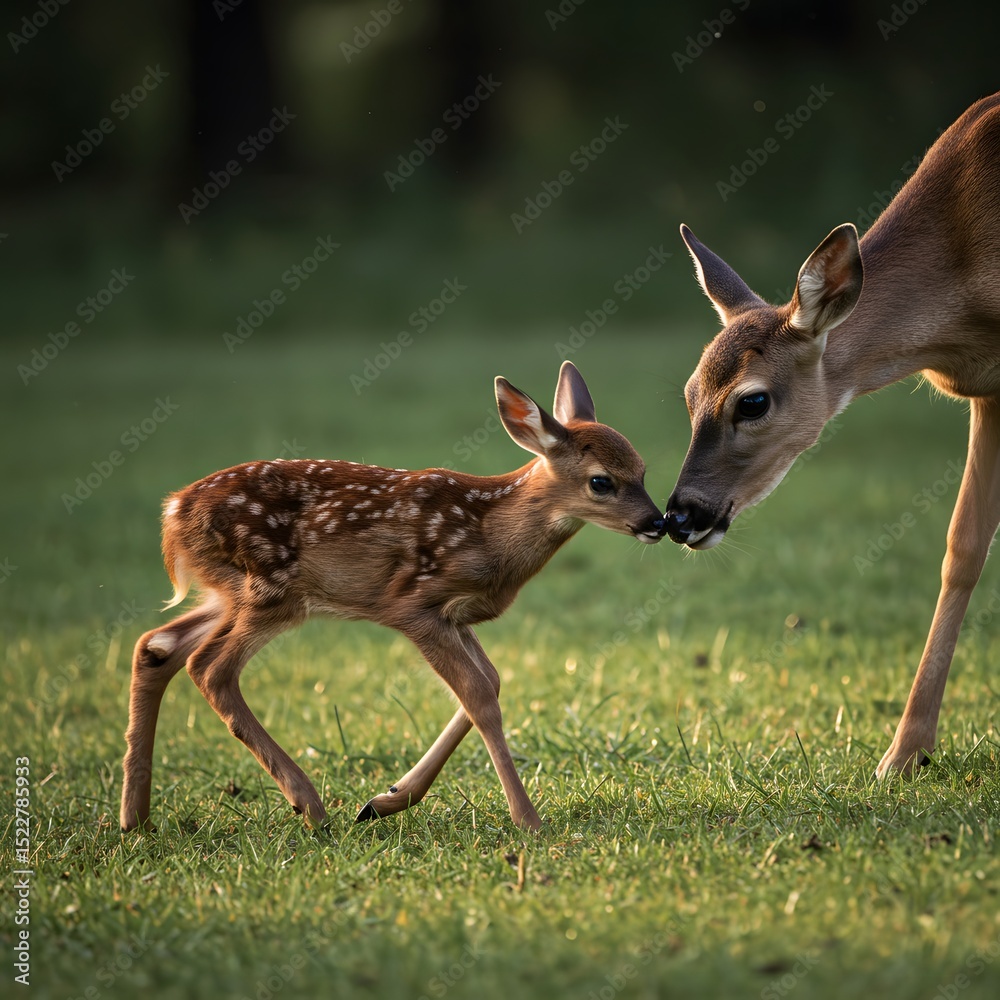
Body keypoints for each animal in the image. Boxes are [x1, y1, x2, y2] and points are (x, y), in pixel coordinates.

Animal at [120, 361, 666, 833]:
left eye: (643, 469)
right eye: (601, 481)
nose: (658, 522)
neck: (491, 534)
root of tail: (173, 513)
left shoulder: (456, 615)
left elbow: (489, 682)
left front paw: (386, 800)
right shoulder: (412, 604)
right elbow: (479, 696)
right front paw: (528, 821)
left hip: (227, 592)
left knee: (158, 646)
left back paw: (135, 818)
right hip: (270, 588)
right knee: (210, 667)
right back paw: (309, 805)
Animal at [663, 92, 1000, 780]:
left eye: (753, 401)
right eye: (688, 394)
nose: (681, 514)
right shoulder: (989, 390)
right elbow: (963, 549)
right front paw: (906, 752)